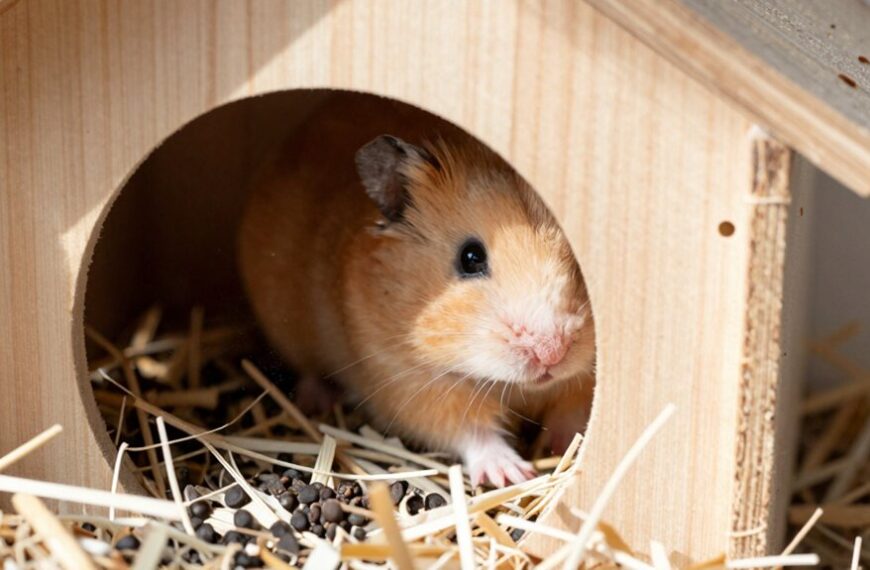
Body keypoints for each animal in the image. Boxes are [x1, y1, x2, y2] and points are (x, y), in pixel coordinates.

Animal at [238, 97, 595, 487]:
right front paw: (511, 475)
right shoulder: (408, 380)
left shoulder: (585, 378)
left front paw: (566, 447)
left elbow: (574, 411)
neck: (511, 384)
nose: (551, 353)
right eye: (471, 257)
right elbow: (471, 430)